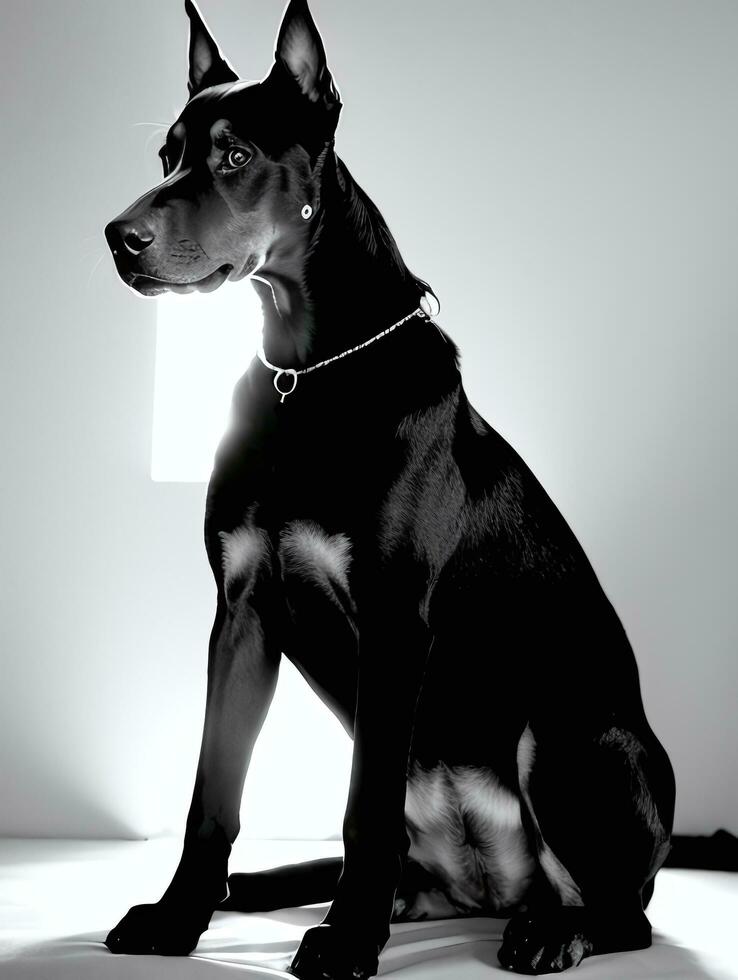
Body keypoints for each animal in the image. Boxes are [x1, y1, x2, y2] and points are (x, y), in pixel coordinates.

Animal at [102, 3, 672, 976]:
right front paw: (179, 917)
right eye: (168, 155)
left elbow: (362, 807)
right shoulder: (243, 608)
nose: (117, 237)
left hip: (566, 730)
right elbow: (212, 793)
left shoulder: (395, 621)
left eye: (233, 156)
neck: (305, 370)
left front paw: (346, 941)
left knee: (622, 909)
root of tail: (490, 889)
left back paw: (548, 929)